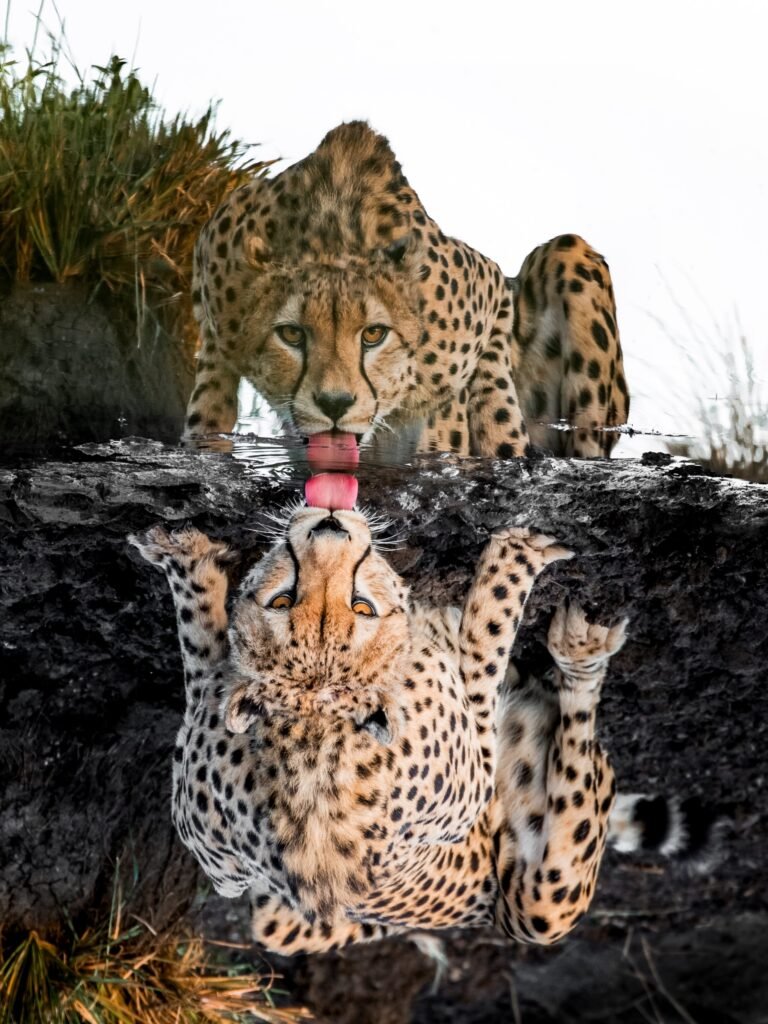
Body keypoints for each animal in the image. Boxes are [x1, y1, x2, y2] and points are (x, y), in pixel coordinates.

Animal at [127, 503, 686, 957]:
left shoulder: (217, 850)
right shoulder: (470, 781)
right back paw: (581, 648)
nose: (330, 525)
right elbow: (485, 641)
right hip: (544, 906)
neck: (316, 716)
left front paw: (187, 561)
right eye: (283, 601)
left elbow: (203, 661)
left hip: (279, 925)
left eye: (361, 607)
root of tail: (478, 913)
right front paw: (515, 558)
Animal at [183, 120, 629, 459]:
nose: (335, 404)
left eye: (374, 334)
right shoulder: (215, 284)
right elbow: (208, 401)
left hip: (568, 253)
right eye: (291, 334)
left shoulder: (487, 286)